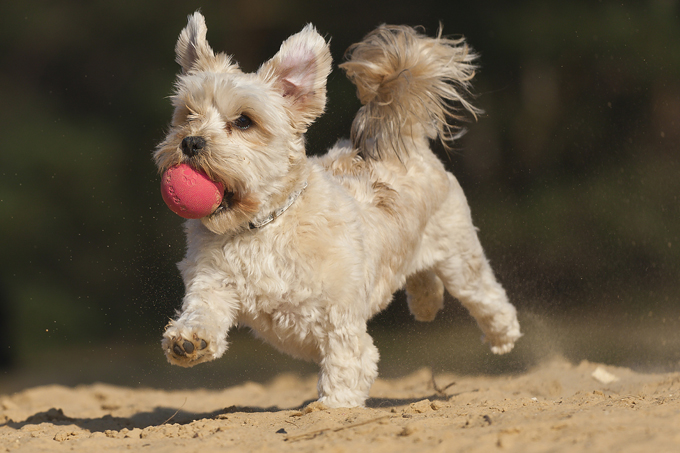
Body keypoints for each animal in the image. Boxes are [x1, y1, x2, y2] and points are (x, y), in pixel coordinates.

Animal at [157, 11, 524, 406]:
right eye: (187, 115)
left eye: (243, 121)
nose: (191, 142)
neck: (262, 227)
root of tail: (404, 142)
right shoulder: (212, 280)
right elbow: (204, 308)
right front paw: (189, 340)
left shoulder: (339, 318)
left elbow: (347, 364)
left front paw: (334, 406)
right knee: (422, 275)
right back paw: (426, 302)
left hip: (458, 254)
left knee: (485, 293)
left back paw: (503, 334)